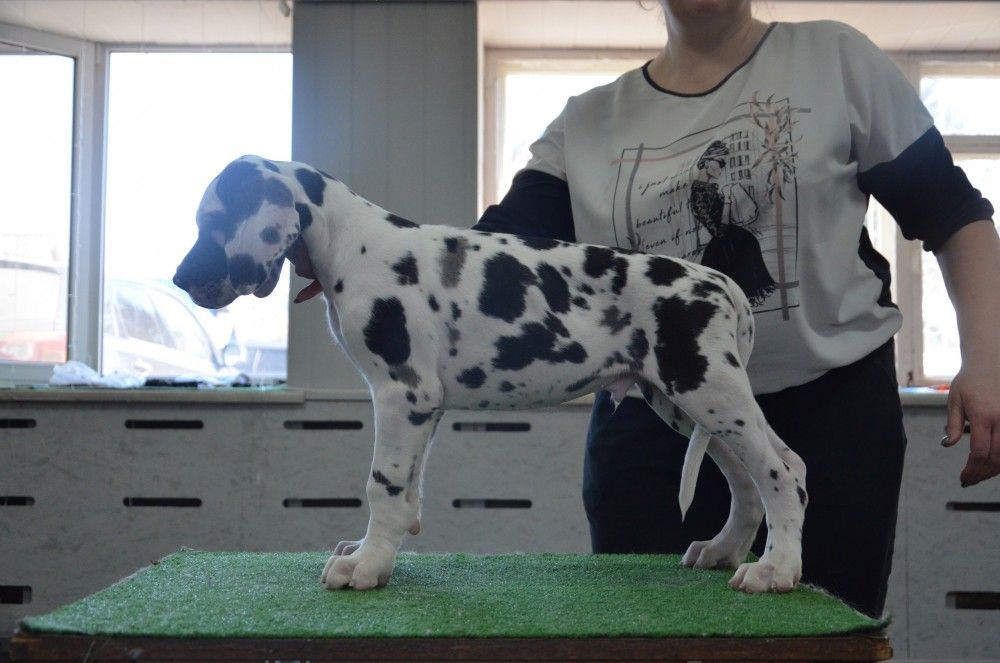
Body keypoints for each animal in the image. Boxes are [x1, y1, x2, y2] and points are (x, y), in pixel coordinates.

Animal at [174, 155, 807, 594]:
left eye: (213, 221)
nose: (181, 280)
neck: (353, 242)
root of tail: (724, 285)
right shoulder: (422, 406)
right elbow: (409, 489)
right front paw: (378, 550)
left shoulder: (400, 394)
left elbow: (383, 484)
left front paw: (367, 566)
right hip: (684, 401)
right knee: (752, 478)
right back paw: (726, 551)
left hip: (707, 390)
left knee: (782, 471)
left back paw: (775, 570)